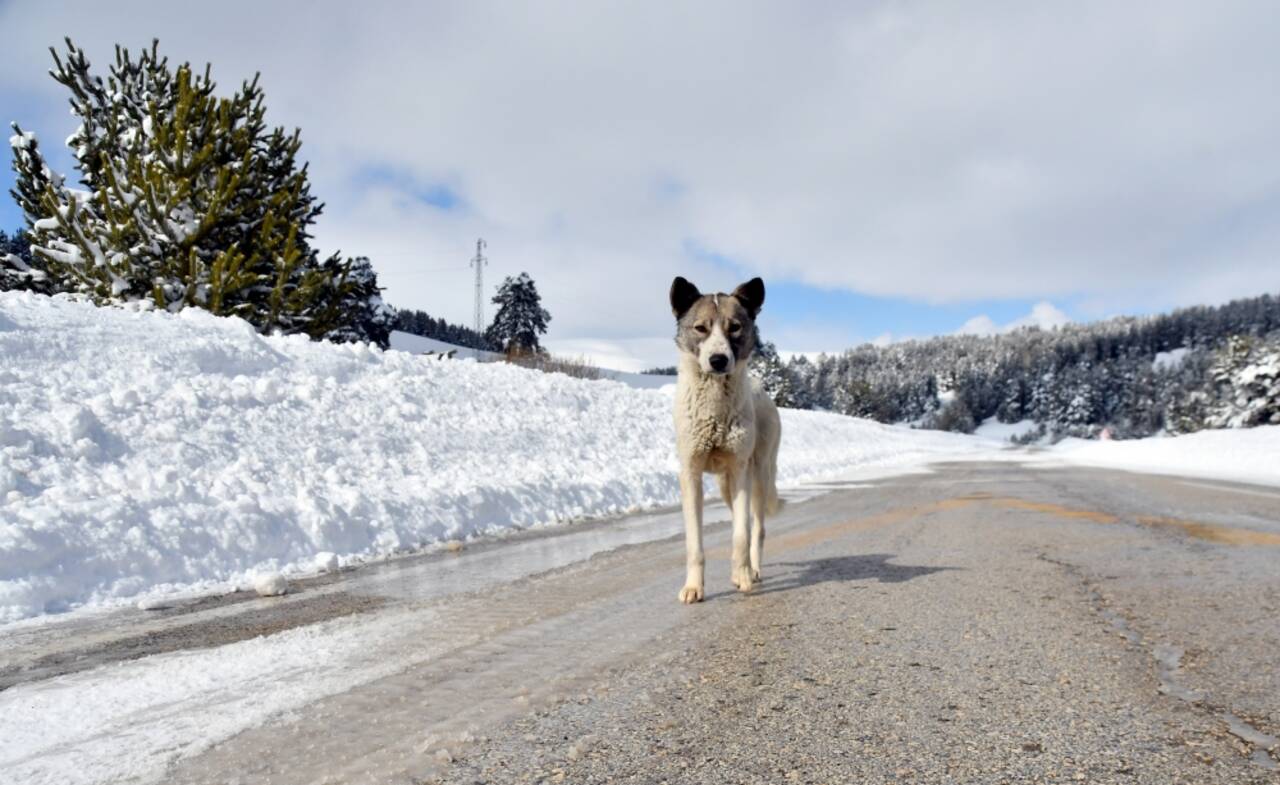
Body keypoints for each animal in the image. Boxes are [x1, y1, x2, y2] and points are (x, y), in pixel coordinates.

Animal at [670, 272, 778, 601]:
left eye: (735, 327)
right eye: (701, 328)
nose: (718, 360)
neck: (715, 412)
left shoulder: (740, 470)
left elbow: (741, 535)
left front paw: (742, 576)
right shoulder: (691, 474)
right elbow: (695, 544)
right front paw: (694, 587)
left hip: (759, 475)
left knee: (757, 528)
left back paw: (752, 570)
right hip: (723, 485)